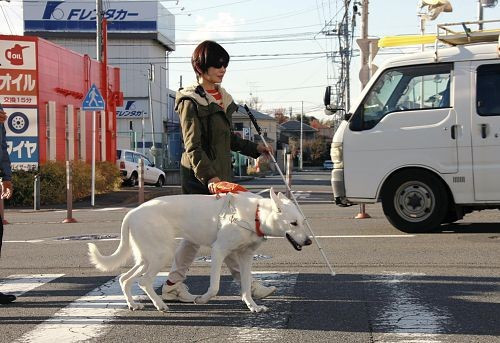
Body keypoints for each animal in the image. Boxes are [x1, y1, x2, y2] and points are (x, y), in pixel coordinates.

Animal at [88, 188, 310, 314]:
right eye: (293, 223)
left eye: (303, 221)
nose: (308, 242)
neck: (255, 214)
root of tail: (132, 212)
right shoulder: (218, 251)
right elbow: (215, 287)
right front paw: (202, 299)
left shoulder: (245, 257)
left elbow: (246, 286)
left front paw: (253, 306)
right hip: (161, 254)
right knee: (143, 281)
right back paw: (160, 305)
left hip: (146, 258)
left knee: (124, 279)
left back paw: (133, 304)